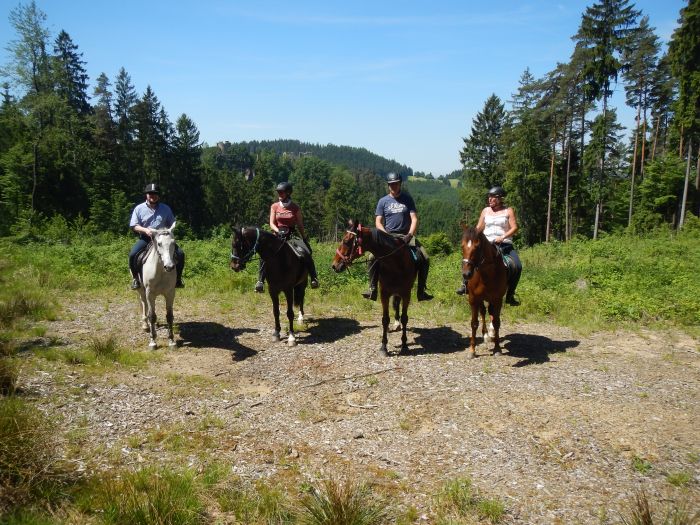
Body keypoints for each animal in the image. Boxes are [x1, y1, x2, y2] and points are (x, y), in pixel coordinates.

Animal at [330, 217, 416, 356]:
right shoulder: (384, 293)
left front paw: (404, 344)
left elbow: (404, 318)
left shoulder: (406, 294)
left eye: (346, 241)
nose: (334, 265)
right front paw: (384, 347)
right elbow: (385, 319)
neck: (395, 263)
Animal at [460, 223, 508, 358]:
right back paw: (486, 335)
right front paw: (472, 351)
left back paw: (490, 335)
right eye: (462, 245)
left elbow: (496, 322)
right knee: (483, 312)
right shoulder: (473, 299)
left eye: (477, 246)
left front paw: (497, 348)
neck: (486, 274)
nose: (466, 274)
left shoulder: (497, 299)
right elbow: (474, 323)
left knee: (490, 313)